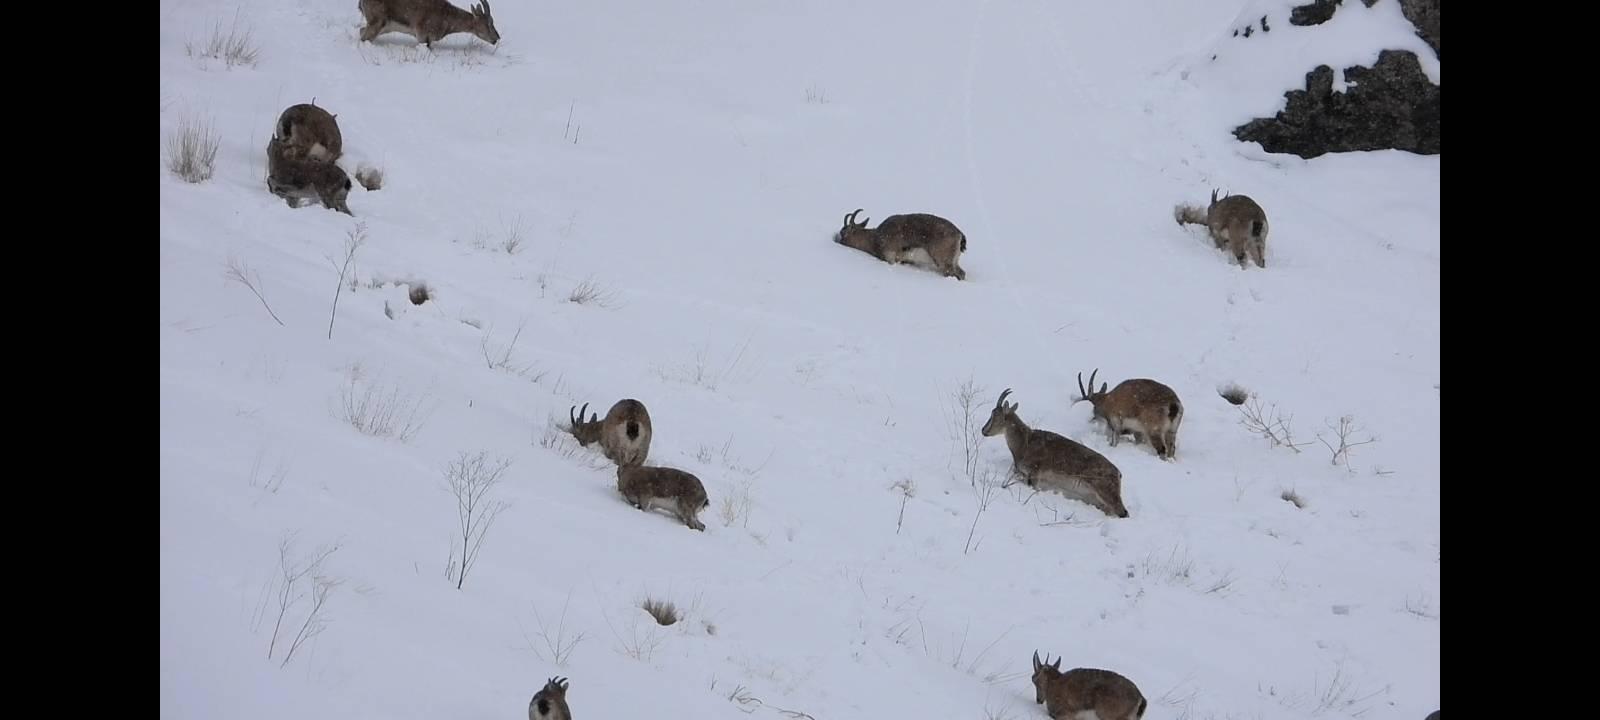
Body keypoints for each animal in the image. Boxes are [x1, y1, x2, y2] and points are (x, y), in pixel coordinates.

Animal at [979, 388, 1132, 518]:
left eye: (995, 415)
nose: (984, 430)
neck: (1025, 443)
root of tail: (1118, 474)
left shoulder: (1034, 475)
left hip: (1106, 492)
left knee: (1123, 512)